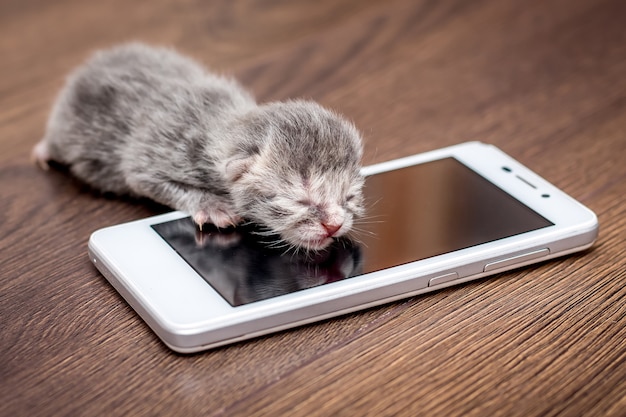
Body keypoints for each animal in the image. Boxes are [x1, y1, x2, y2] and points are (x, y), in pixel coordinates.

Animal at [34, 42, 364, 250]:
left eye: (349, 197)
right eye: (300, 200)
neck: (225, 125)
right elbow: (146, 180)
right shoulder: (155, 155)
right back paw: (43, 150)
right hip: (67, 127)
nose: (335, 225)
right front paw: (212, 206)